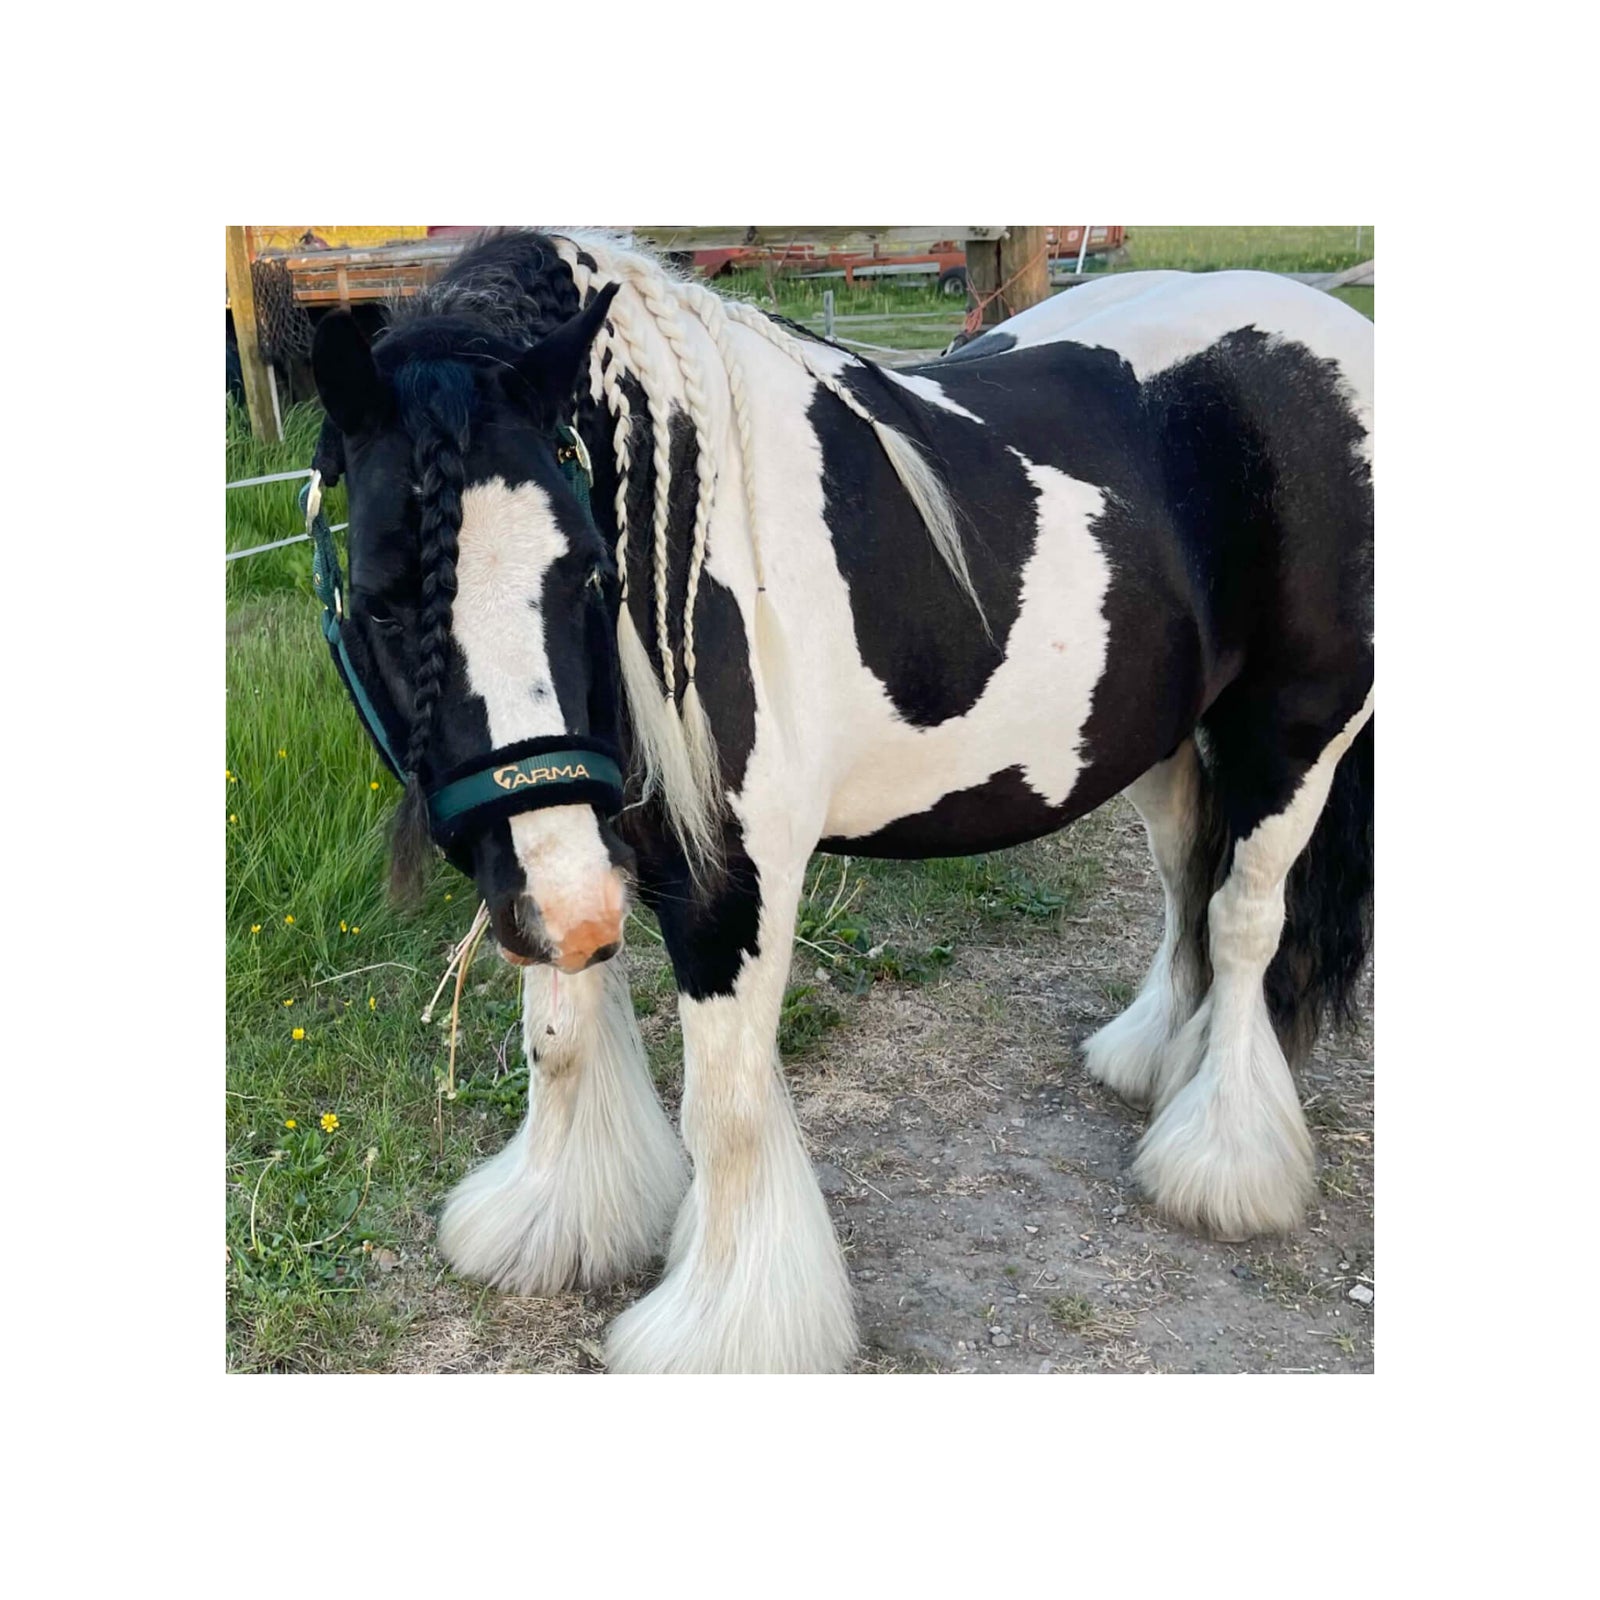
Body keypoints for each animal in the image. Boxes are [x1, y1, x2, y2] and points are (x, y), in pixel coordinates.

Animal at [308, 228, 1374, 1373]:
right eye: (381, 599)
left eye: (588, 573)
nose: (573, 910)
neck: (680, 566)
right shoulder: (566, 852)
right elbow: (558, 1042)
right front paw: (553, 1225)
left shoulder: (730, 880)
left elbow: (726, 1110)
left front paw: (725, 1328)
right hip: (1162, 742)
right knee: (1185, 888)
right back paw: (1153, 1063)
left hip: (1296, 733)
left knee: (1243, 922)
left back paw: (1221, 1162)